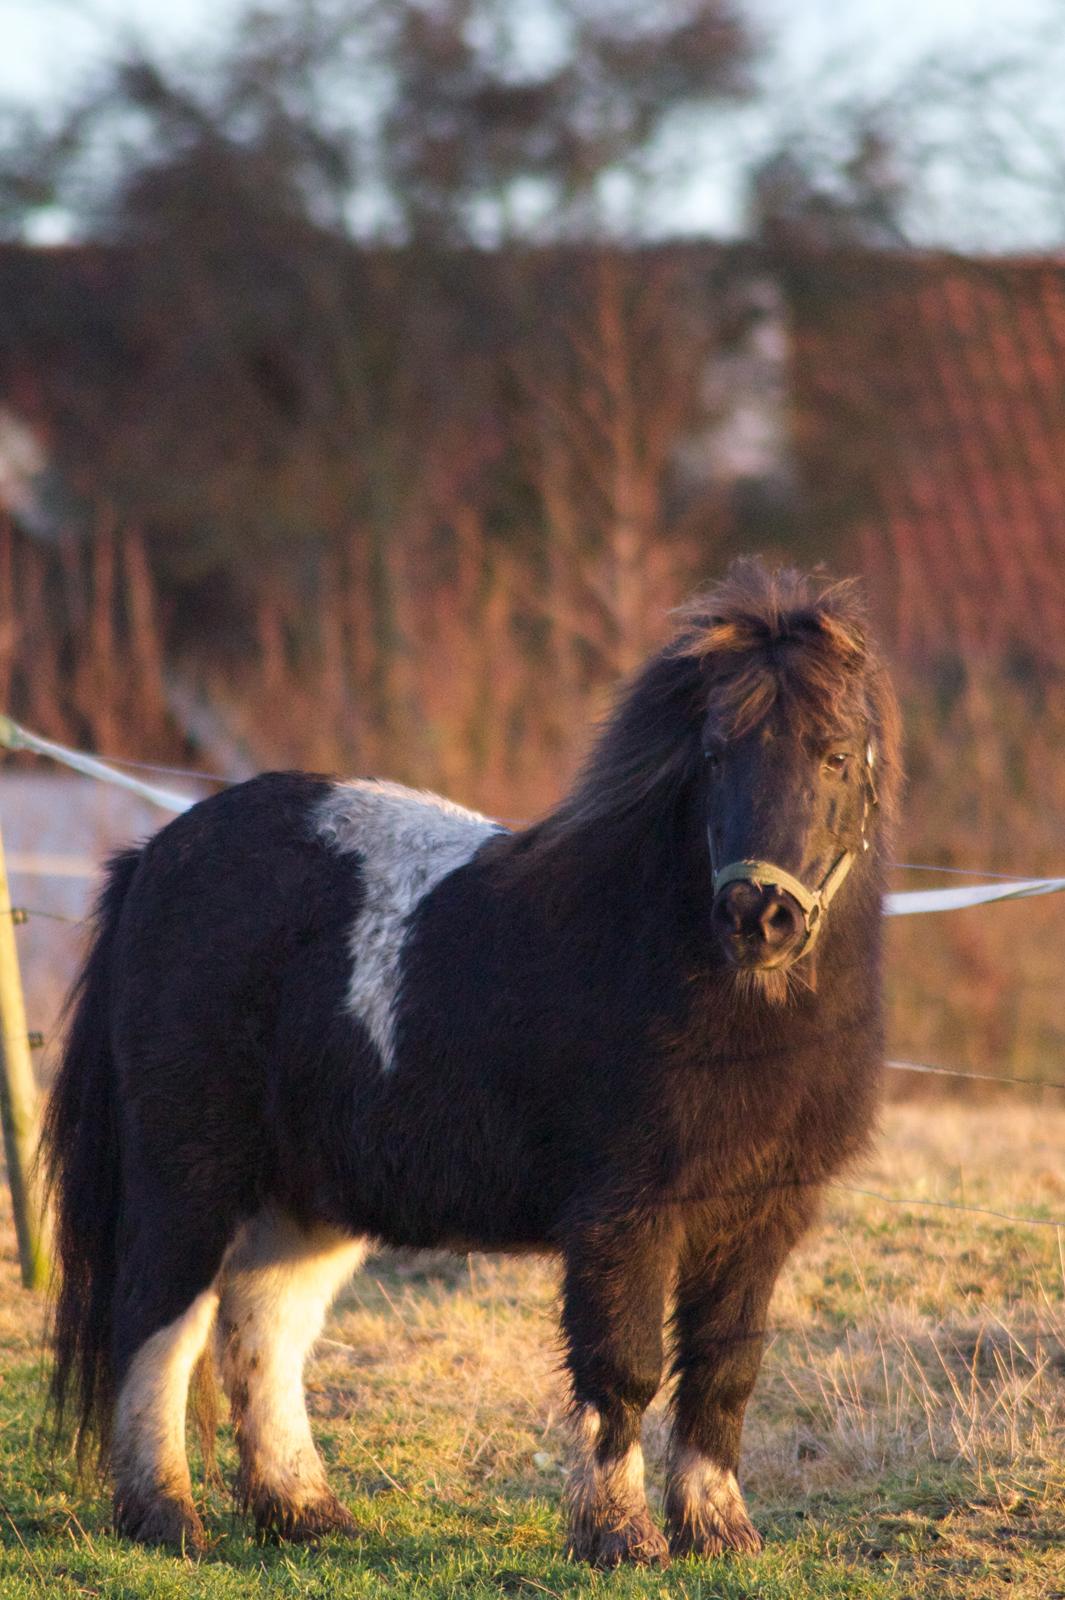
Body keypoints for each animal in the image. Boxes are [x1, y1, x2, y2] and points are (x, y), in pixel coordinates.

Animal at [45, 560, 901, 1561]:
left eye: (835, 754)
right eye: (716, 753)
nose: (757, 916)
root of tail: (156, 855)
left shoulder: (762, 1211)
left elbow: (725, 1368)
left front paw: (718, 1530)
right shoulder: (626, 1211)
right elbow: (624, 1366)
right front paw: (618, 1534)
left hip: (305, 1194)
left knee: (264, 1327)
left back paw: (303, 1511)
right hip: (191, 1170)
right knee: (159, 1317)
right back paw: (165, 1518)